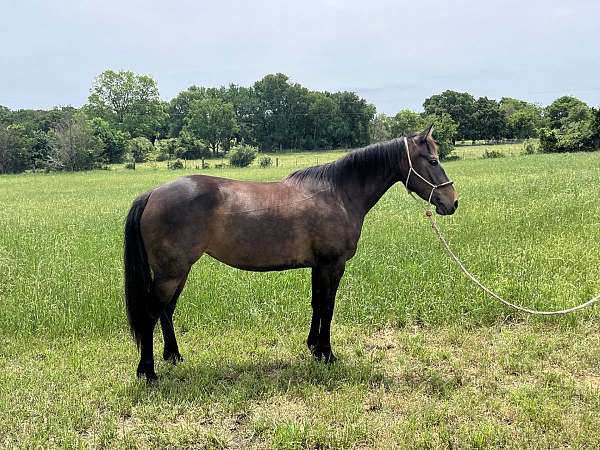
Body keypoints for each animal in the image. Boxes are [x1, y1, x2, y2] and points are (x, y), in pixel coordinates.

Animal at [123, 125, 460, 380]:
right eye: (432, 160)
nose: (452, 202)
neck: (338, 193)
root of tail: (152, 194)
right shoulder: (332, 265)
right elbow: (327, 307)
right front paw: (327, 353)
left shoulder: (317, 266)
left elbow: (316, 304)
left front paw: (313, 348)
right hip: (171, 273)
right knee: (151, 312)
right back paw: (148, 372)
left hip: (178, 272)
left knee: (166, 311)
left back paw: (174, 356)